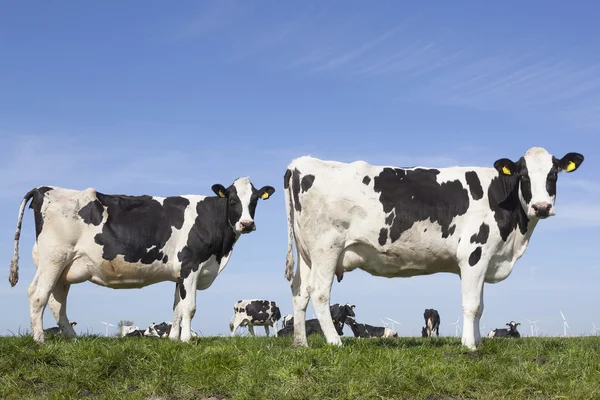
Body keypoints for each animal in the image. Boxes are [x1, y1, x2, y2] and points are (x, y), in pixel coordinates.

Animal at [8, 178, 276, 344]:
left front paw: (174, 340)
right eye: (232, 200)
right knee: (38, 295)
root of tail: (43, 188)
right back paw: (40, 340)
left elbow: (176, 308)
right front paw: (187, 340)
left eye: (254, 200)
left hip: (65, 268)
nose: (247, 224)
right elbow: (189, 307)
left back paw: (73, 339)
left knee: (57, 304)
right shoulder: (190, 265)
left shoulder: (179, 274)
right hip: (53, 259)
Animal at [284, 148, 584, 350]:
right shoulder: (474, 254)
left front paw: (477, 341)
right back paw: (335, 342)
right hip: (326, 248)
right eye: (524, 175)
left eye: (553, 174)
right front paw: (469, 346)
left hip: (307, 255)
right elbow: (472, 305)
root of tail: (301, 163)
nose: (541, 207)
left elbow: (481, 306)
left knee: (300, 293)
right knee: (319, 293)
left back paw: (301, 343)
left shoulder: (484, 260)